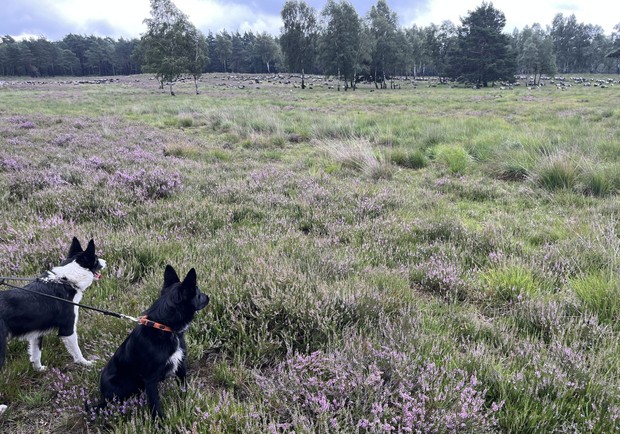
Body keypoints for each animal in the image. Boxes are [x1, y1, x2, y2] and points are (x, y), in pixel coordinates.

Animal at [92, 262, 208, 418]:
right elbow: (154, 403)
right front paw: (160, 421)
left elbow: (183, 388)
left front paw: (186, 403)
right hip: (124, 384)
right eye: (198, 293)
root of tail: (102, 395)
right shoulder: (150, 378)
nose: (208, 297)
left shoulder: (180, 365)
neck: (164, 327)